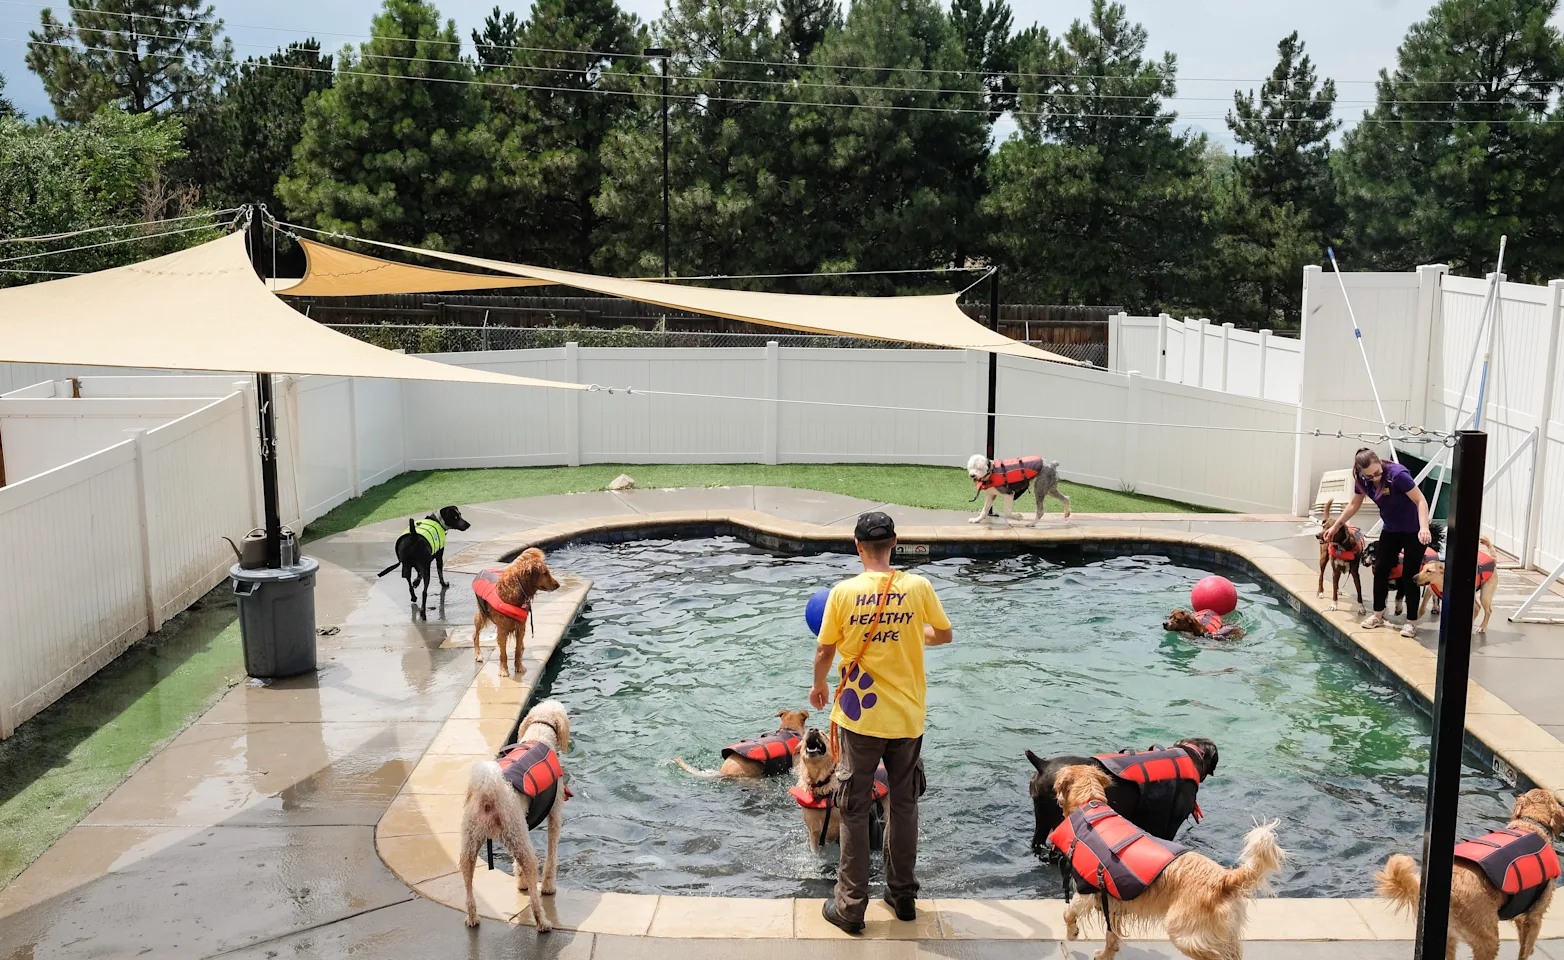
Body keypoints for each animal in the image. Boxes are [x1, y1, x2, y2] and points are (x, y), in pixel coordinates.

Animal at [459, 703, 572, 938]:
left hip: (472, 843)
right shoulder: (555, 813)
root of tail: (488, 794)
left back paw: (472, 918)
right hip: (518, 838)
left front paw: (520, 882)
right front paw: (548, 886)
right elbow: (552, 853)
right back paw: (542, 923)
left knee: (468, 890)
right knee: (534, 896)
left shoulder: (522, 825)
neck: (539, 735)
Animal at [472, 553, 566, 681]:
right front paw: (503, 670)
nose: (558, 585)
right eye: (545, 573)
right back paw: (478, 654)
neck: (517, 590)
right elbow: (503, 654)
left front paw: (519, 666)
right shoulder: (502, 629)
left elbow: (517, 651)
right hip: (481, 614)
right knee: (475, 635)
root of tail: (484, 570)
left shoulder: (521, 626)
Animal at [1051, 766, 1282, 960]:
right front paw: (1106, 955)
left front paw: (1072, 933)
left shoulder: (1088, 889)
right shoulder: (1112, 902)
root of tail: (1225, 878)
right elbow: (1111, 936)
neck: (1089, 806)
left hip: (1184, 933)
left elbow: (1067, 912)